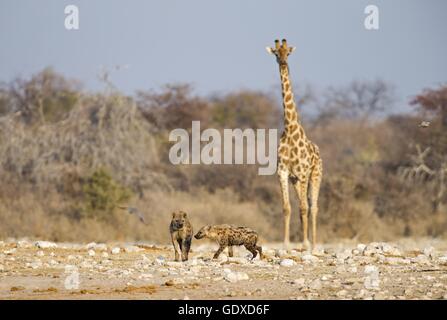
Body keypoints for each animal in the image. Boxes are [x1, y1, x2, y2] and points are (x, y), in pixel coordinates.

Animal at [268, 39, 324, 250]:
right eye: (276, 53)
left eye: (288, 53)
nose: (283, 63)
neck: (290, 129)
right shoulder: (283, 173)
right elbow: (287, 208)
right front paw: (286, 244)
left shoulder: (302, 173)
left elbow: (304, 207)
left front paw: (305, 244)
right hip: (296, 181)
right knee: (304, 206)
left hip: (315, 176)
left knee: (313, 206)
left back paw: (313, 244)